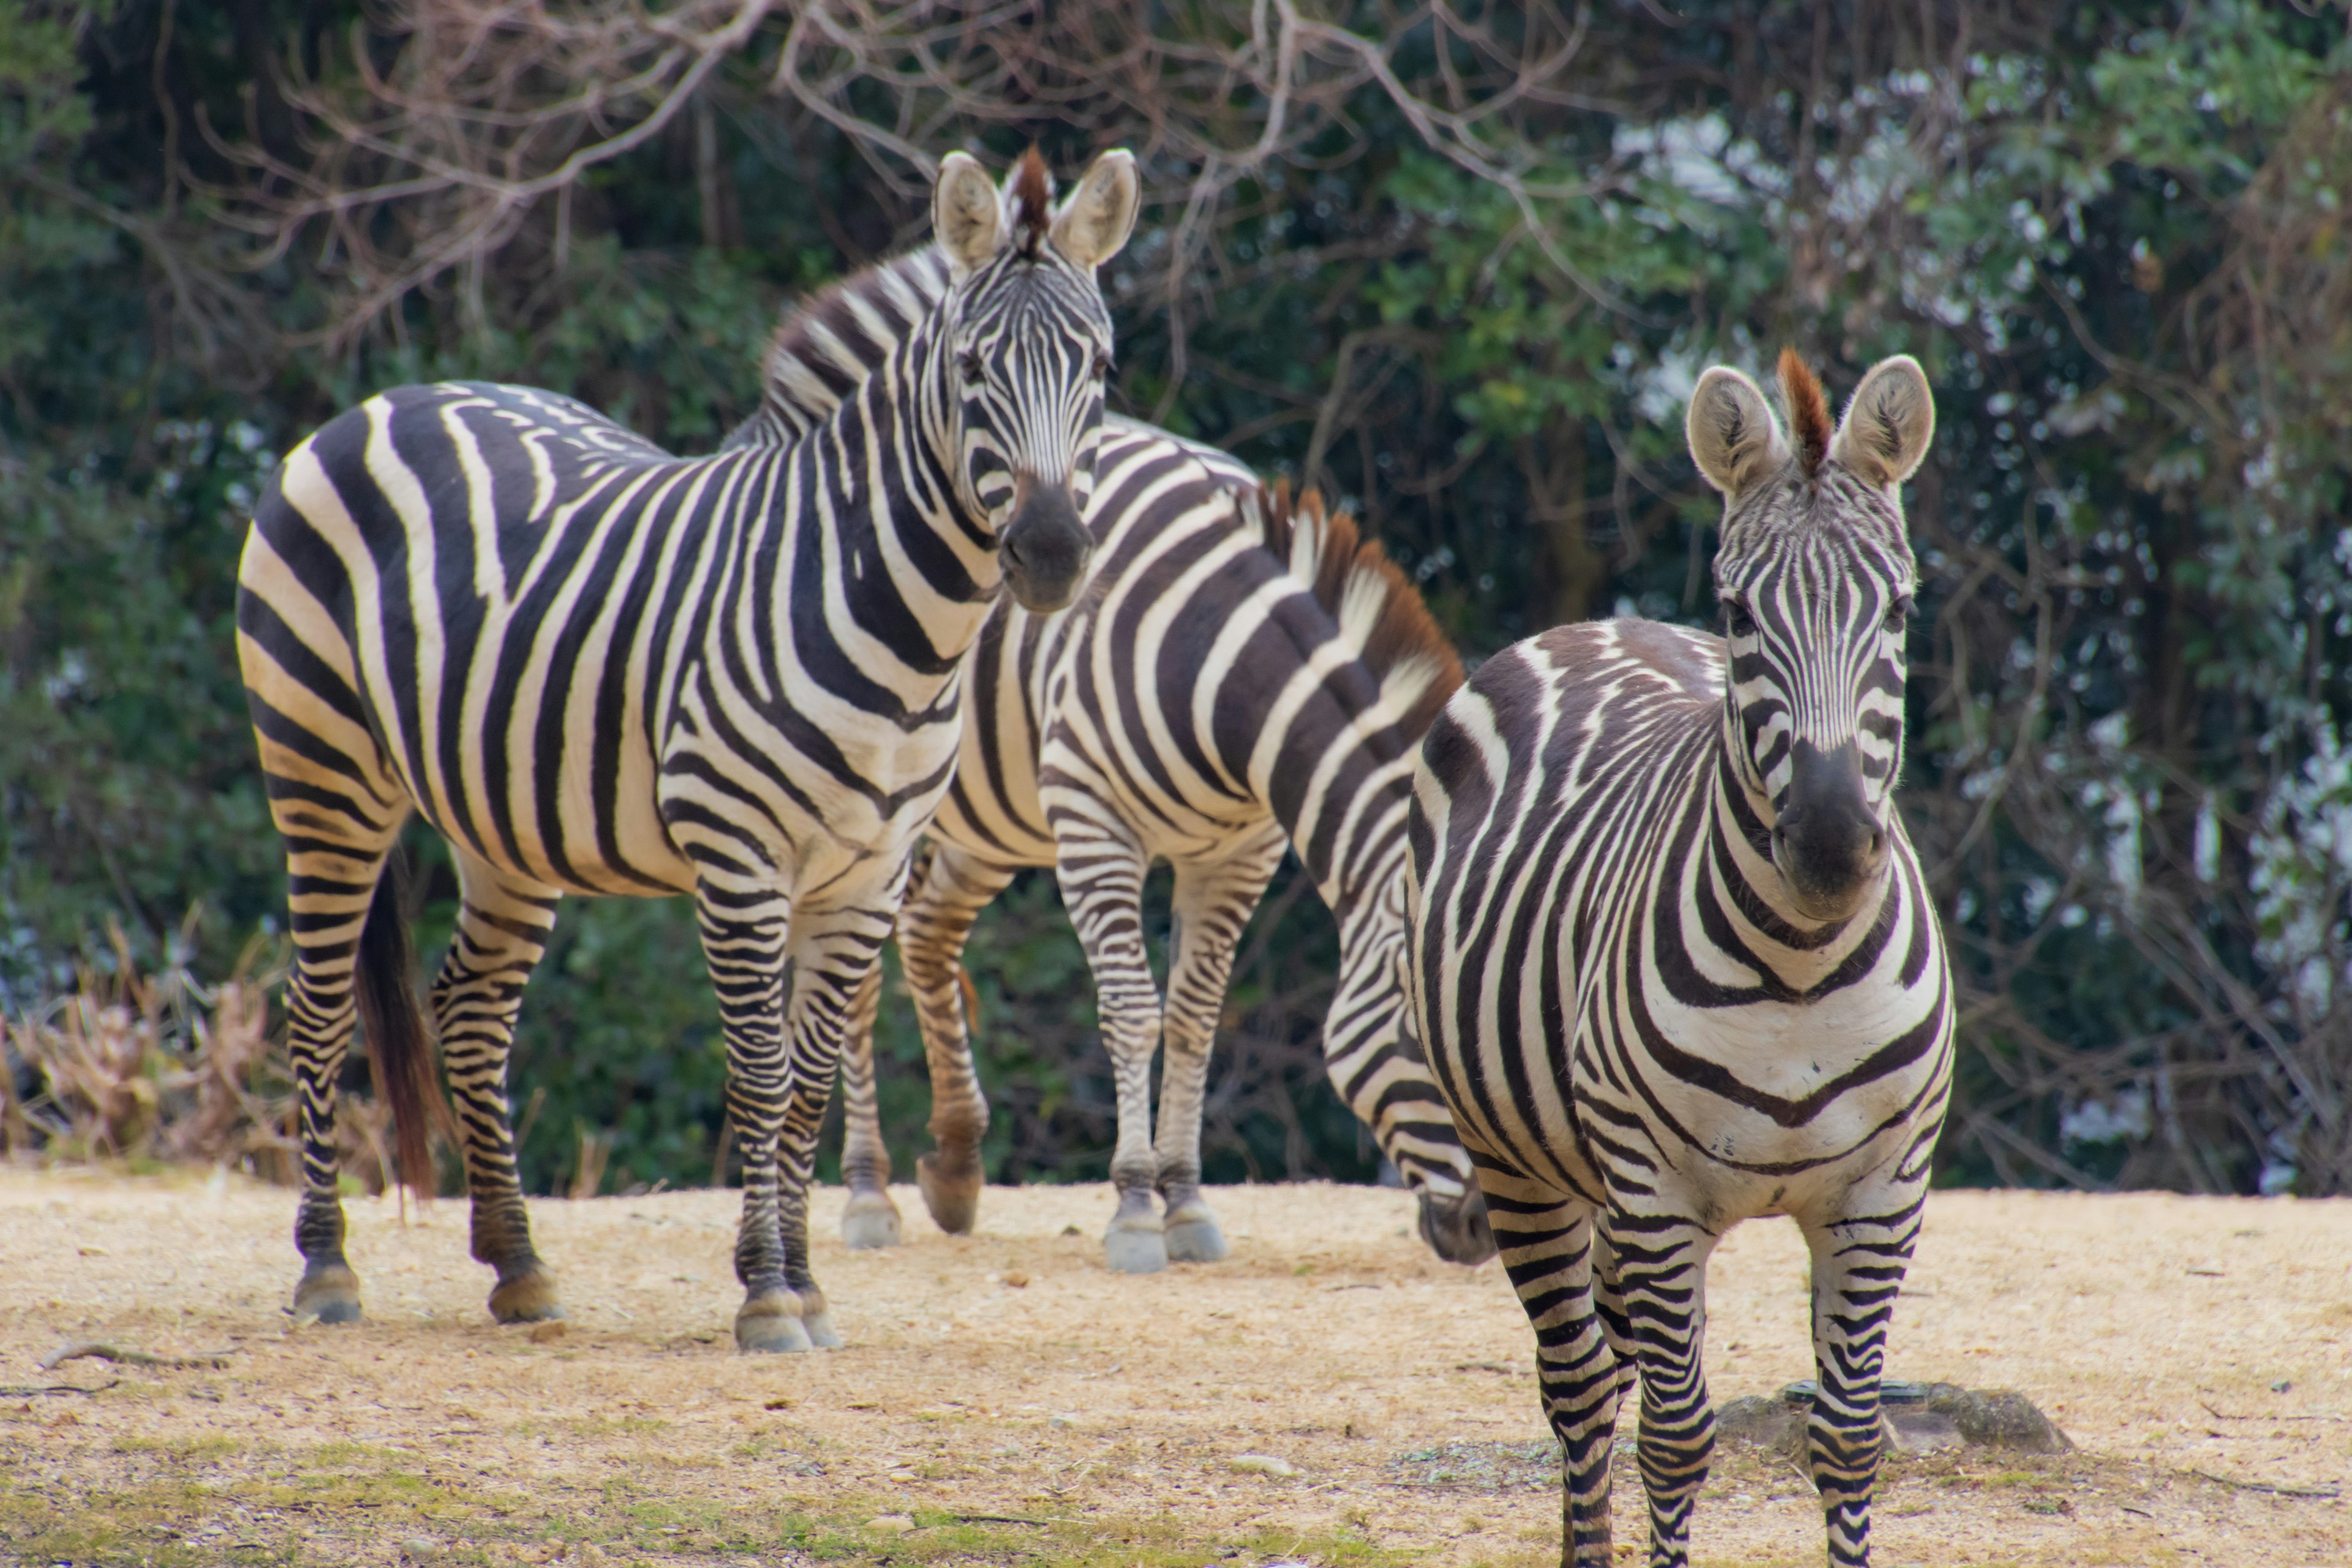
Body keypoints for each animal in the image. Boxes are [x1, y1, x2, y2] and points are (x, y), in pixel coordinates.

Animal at [236, 144, 1138, 1354]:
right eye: (972, 367)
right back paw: (329, 1268)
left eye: (1099, 365)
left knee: (470, 1008)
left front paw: (806, 1285)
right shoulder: (738, 853)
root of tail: (386, 401)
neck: (892, 623)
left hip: (504, 816)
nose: (1050, 555)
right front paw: (765, 1294)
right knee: (320, 1005)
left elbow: (809, 1083)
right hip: (322, 768)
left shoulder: (869, 872)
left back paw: (519, 1265)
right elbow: (759, 1075)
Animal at [720, 247, 1486, 1278]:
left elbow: (1196, 1016)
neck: (1214, 658)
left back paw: (956, 1167)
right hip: (863, 813)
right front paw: (1133, 1209)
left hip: (991, 816)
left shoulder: (1239, 851)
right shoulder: (1094, 826)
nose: (1484, 1231)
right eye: (1423, 1033)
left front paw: (1187, 1201)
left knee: (928, 932)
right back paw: (871, 1192)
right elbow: (1131, 1008)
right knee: (865, 979)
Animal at [1411, 350, 1947, 1561]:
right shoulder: (1657, 1193)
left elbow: (1850, 1439)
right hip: (1524, 1165)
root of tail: (1588, 625)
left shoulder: (1882, 1193)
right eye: (1739, 611)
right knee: (1577, 1392)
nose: (1832, 845)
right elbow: (1676, 1439)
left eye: (1898, 608)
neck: (1800, 971)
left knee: (1603, 1374)